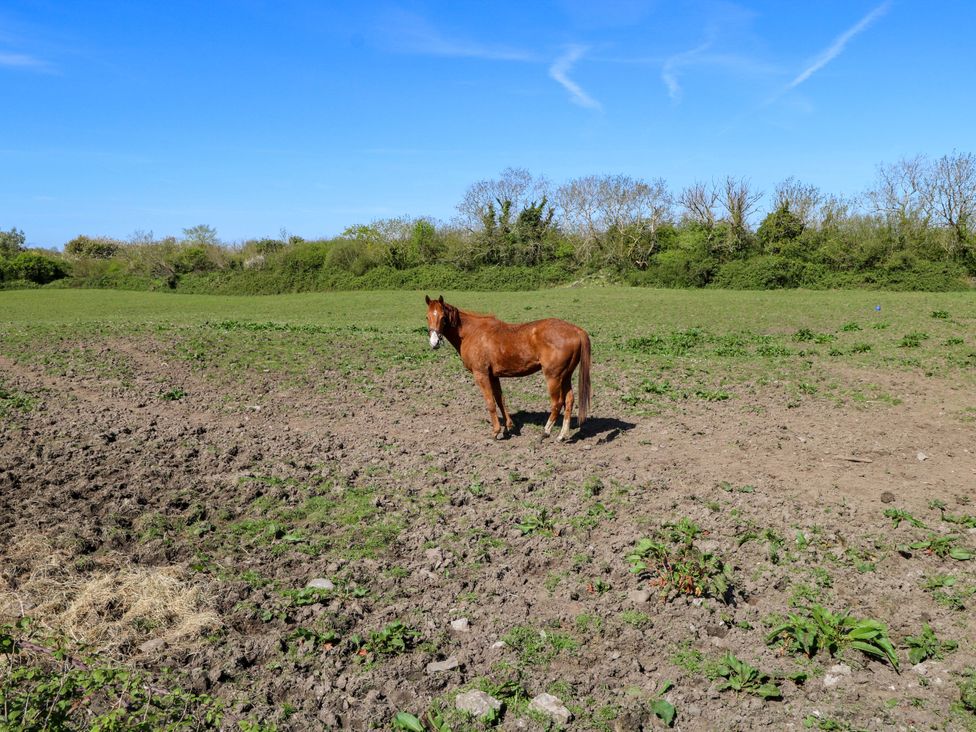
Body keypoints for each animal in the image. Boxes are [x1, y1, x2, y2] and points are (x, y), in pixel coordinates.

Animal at [425, 295, 591, 441]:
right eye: (427, 317)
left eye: (443, 317)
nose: (434, 342)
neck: (472, 333)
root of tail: (576, 330)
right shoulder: (493, 375)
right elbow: (500, 399)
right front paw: (509, 426)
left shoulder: (481, 374)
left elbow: (490, 403)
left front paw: (496, 431)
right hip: (566, 376)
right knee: (569, 400)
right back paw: (562, 435)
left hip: (553, 376)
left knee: (557, 403)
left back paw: (545, 432)